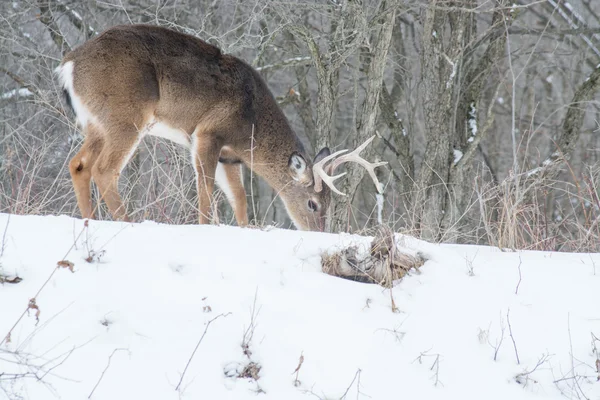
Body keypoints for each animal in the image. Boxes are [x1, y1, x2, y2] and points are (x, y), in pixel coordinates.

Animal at [56, 25, 384, 231]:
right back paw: (127, 223)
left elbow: (239, 199)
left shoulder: (231, 157)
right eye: (313, 204)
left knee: (78, 164)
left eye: (330, 203)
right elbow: (205, 189)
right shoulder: (207, 133)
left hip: (96, 123)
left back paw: (90, 219)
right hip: (126, 115)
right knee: (104, 169)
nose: (318, 232)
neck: (251, 122)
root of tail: (68, 65)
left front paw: (244, 229)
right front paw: (205, 227)